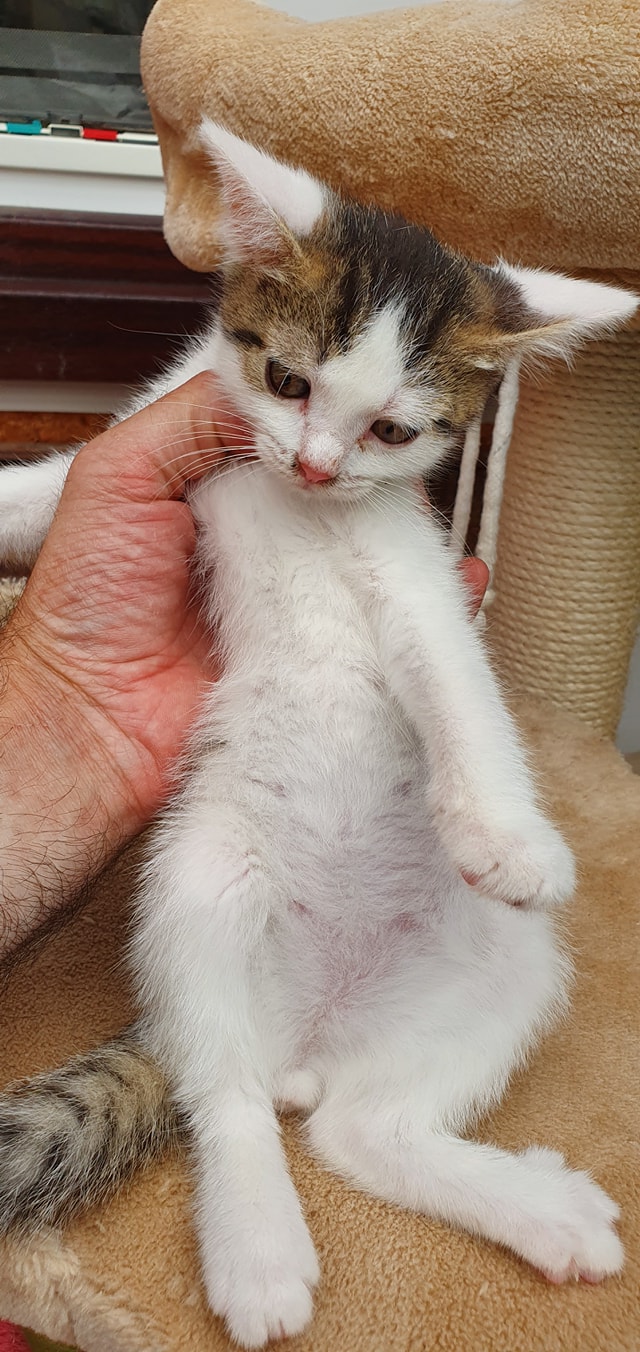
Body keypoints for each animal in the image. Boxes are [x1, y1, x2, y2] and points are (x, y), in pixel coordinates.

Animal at [0, 122, 636, 1348]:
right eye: (286, 381)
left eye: (391, 429)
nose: (313, 464)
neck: (296, 505)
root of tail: (306, 1037)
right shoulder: (151, 458)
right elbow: (46, 495)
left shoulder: (412, 570)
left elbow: (453, 681)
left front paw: (506, 836)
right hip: (203, 877)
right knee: (231, 1100)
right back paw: (258, 1246)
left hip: (502, 964)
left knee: (356, 1132)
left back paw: (534, 1210)